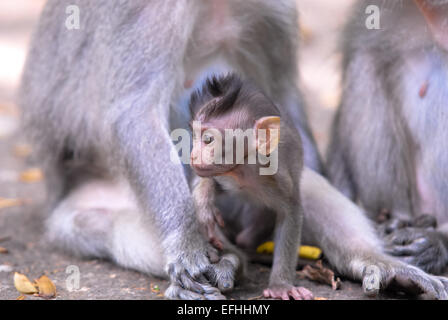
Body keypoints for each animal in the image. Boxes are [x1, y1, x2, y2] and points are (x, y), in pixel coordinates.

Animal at [189, 73, 312, 300]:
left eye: (208, 139)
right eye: (193, 137)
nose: (192, 155)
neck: (243, 169)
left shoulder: (279, 179)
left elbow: (290, 212)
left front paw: (280, 285)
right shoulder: (225, 174)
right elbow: (207, 180)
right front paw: (204, 206)